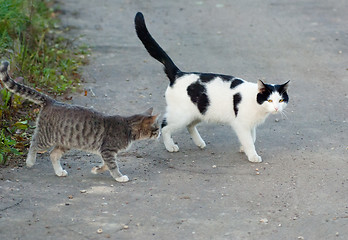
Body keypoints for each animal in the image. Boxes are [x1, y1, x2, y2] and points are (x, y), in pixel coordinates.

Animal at [0, 61, 160, 183]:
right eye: (157, 128)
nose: (159, 135)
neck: (128, 127)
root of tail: (51, 101)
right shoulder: (107, 150)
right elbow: (113, 166)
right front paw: (119, 177)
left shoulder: (106, 152)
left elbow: (106, 165)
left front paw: (96, 169)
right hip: (47, 137)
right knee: (34, 142)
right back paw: (30, 161)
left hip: (65, 142)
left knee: (53, 154)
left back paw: (59, 171)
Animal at [135, 13, 290, 163]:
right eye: (269, 100)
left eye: (281, 100)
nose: (276, 108)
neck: (256, 104)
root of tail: (178, 73)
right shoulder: (241, 124)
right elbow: (249, 141)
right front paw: (252, 155)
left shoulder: (251, 125)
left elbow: (252, 137)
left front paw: (243, 148)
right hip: (182, 115)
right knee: (165, 126)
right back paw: (170, 146)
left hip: (200, 111)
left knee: (189, 126)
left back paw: (199, 143)